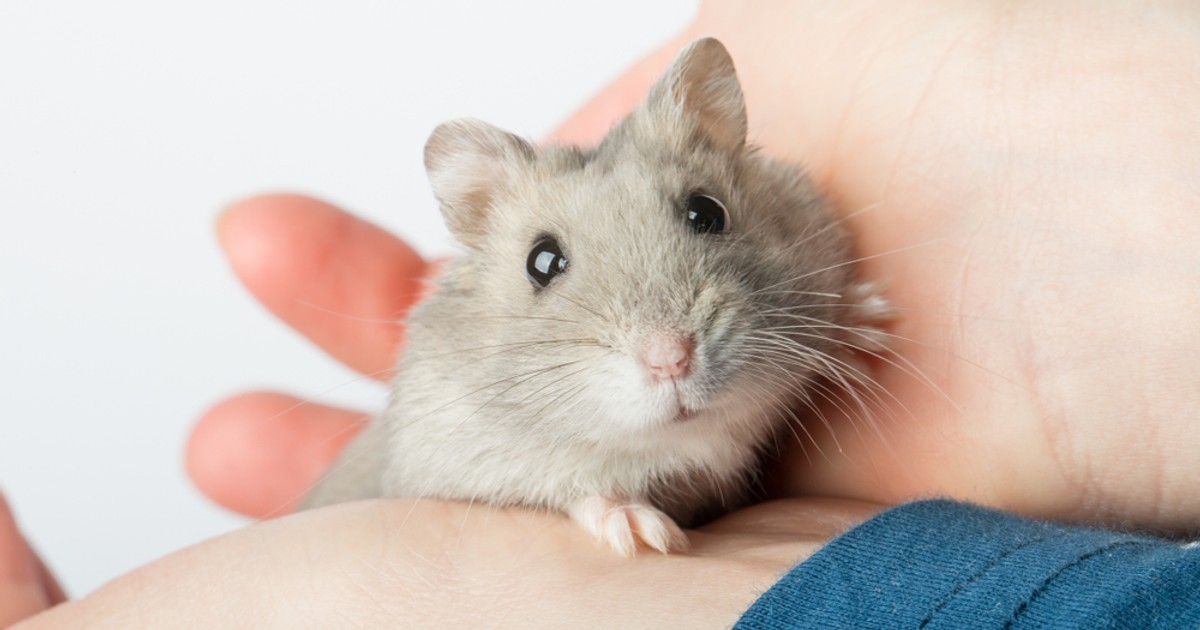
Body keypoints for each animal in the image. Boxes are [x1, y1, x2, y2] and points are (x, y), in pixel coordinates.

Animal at [301, 37, 892, 557]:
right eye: (541, 262)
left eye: (707, 212)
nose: (670, 359)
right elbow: (574, 489)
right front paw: (643, 534)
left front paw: (873, 322)